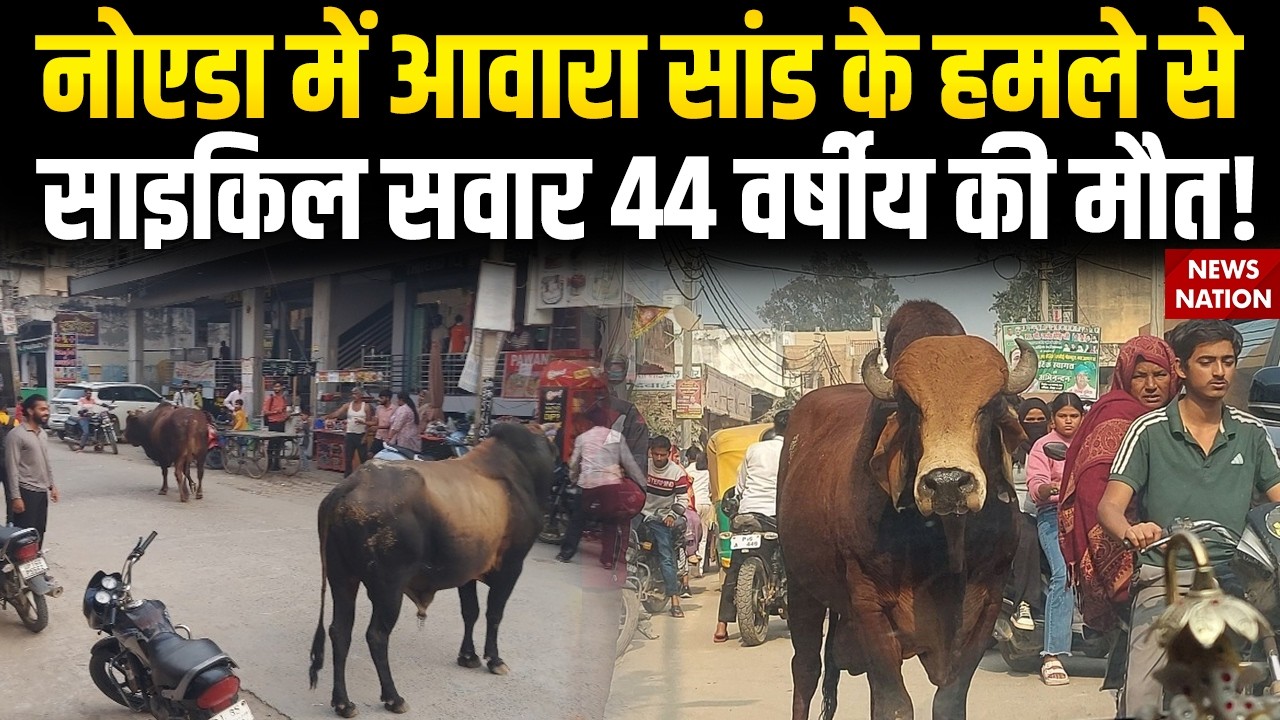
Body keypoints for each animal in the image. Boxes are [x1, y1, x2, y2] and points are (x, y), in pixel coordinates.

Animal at [308, 421, 558, 718]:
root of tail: (350, 484)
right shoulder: (511, 565)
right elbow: (494, 614)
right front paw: (494, 660)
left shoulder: (468, 572)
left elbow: (470, 612)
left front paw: (468, 656)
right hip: (388, 586)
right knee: (376, 636)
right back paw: (393, 697)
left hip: (342, 578)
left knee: (340, 631)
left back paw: (343, 702)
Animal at [778, 300, 1037, 720]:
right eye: (909, 407)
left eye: (990, 405)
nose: (947, 482)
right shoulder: (868, 604)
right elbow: (894, 704)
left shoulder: (989, 600)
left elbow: (948, 700)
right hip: (801, 586)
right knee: (805, 670)